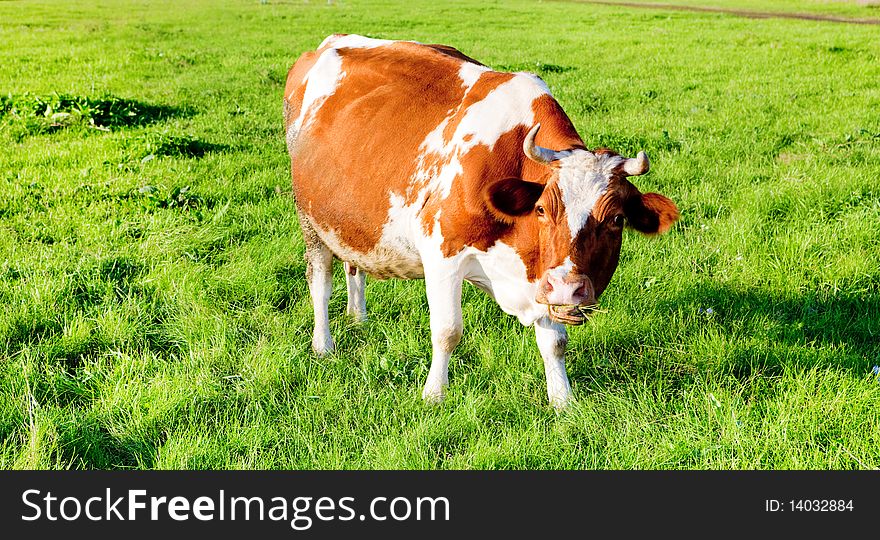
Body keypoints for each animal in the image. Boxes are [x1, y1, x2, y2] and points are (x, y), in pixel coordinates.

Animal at [286, 33, 676, 408]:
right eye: (542, 210)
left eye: (616, 219)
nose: (569, 289)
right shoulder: (442, 250)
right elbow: (447, 331)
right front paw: (434, 395)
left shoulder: (543, 275)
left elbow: (555, 341)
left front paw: (563, 401)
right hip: (310, 218)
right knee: (320, 279)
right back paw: (323, 344)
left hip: (349, 219)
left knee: (354, 266)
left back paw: (358, 319)